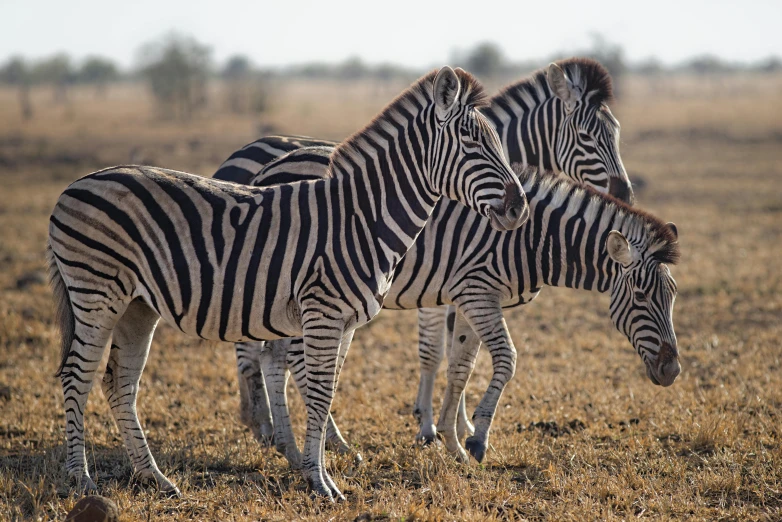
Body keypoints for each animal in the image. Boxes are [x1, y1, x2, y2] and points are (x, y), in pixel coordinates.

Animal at [46, 66, 528, 500]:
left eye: (498, 143)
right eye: (471, 142)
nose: (519, 208)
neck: (362, 218)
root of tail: (73, 186)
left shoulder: (344, 322)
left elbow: (326, 392)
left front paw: (319, 471)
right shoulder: (323, 313)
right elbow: (317, 394)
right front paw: (320, 483)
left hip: (136, 306)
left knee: (119, 382)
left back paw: (155, 478)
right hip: (96, 293)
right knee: (77, 375)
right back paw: (81, 479)